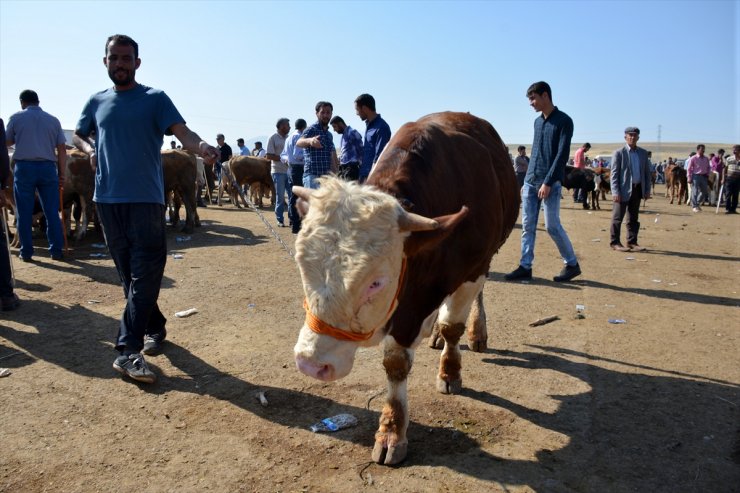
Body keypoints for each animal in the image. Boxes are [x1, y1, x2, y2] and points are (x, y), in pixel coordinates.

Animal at [292, 112, 516, 466]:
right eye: (302, 265)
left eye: (375, 282)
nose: (311, 364)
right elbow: (396, 362)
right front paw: (391, 430)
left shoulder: (470, 269)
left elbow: (450, 328)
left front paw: (449, 374)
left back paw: (476, 332)